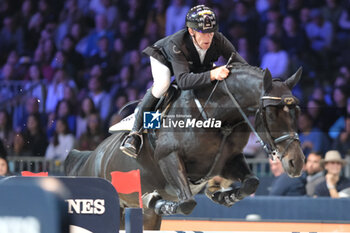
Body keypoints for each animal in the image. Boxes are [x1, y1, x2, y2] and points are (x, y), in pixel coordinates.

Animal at [64, 63, 304, 229]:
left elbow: (252, 183)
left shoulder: (229, 160)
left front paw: (223, 195)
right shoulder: (169, 158)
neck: (217, 117)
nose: (297, 162)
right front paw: (156, 200)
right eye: (271, 114)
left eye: (296, 111)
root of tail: (90, 157)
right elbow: (187, 203)